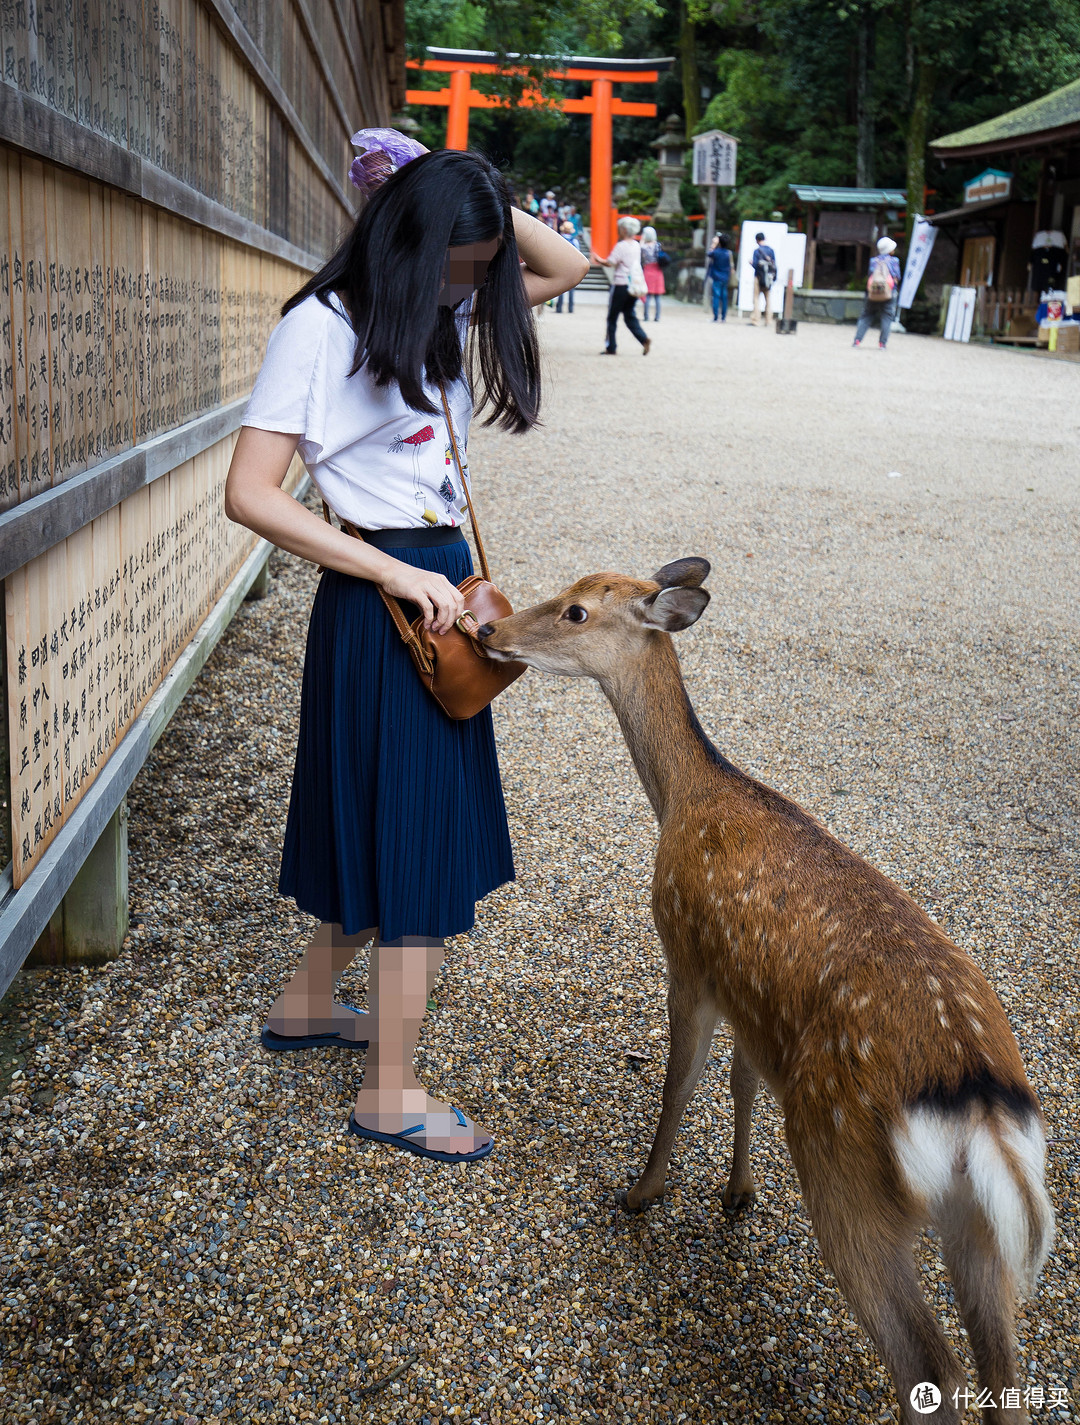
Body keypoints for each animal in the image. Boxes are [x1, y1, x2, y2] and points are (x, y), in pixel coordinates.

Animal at [478, 558, 1060, 1425]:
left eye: (576, 610)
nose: (489, 628)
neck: (685, 794)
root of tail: (982, 1105)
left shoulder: (687, 957)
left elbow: (680, 1083)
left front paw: (642, 1192)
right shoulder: (750, 1000)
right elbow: (741, 1081)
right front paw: (737, 1192)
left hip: (843, 1175)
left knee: (931, 1369)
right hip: (981, 1230)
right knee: (1003, 1380)